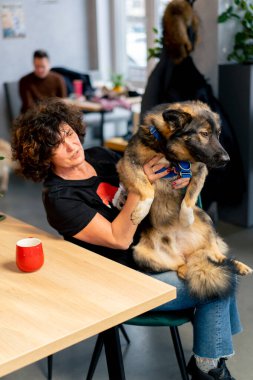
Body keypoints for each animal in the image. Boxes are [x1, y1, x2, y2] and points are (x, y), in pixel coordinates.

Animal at [116, 101, 251, 300]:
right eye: (204, 134)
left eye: (218, 134)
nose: (227, 160)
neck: (170, 153)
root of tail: (185, 252)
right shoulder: (127, 163)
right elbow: (147, 188)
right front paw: (140, 211)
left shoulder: (201, 170)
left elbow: (190, 197)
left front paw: (185, 218)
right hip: (141, 255)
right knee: (181, 266)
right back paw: (190, 270)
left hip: (205, 217)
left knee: (217, 254)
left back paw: (238, 266)